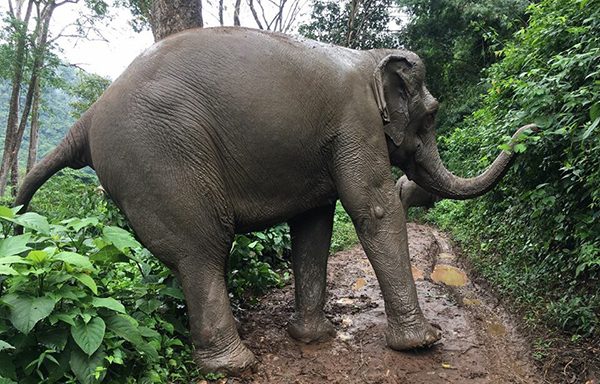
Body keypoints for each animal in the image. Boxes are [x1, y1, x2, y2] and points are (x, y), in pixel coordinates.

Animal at [16, 27, 536, 376]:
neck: (368, 60)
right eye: (430, 116)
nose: (530, 129)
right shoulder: (356, 123)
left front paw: (313, 338)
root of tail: (88, 117)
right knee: (203, 248)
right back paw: (234, 365)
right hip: (162, 153)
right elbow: (373, 208)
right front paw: (423, 342)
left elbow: (314, 224)